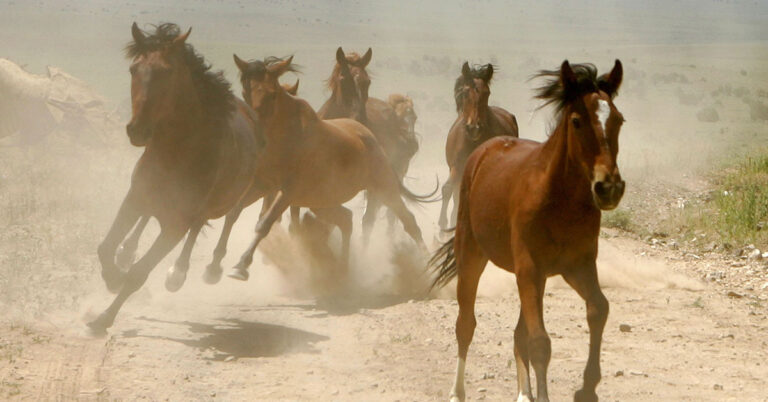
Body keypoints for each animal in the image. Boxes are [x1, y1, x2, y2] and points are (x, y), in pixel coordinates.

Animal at [88, 23, 264, 334]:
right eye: (133, 69)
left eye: (167, 72)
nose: (138, 130)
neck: (179, 148)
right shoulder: (135, 197)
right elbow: (105, 247)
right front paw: (113, 277)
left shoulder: (177, 223)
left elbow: (139, 273)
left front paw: (103, 318)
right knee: (151, 222)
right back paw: (128, 252)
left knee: (216, 223)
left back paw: (185, 273)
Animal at [228, 53, 432, 282]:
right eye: (245, 91)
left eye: (272, 95)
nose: (254, 131)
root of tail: (369, 134)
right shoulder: (267, 186)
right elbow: (248, 213)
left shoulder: (289, 191)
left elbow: (268, 222)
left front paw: (241, 265)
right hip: (323, 200)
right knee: (348, 219)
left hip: (384, 188)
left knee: (403, 221)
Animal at [438, 61, 520, 231]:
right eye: (465, 93)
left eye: (487, 93)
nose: (474, 127)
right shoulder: (456, 167)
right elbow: (448, 189)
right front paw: (444, 225)